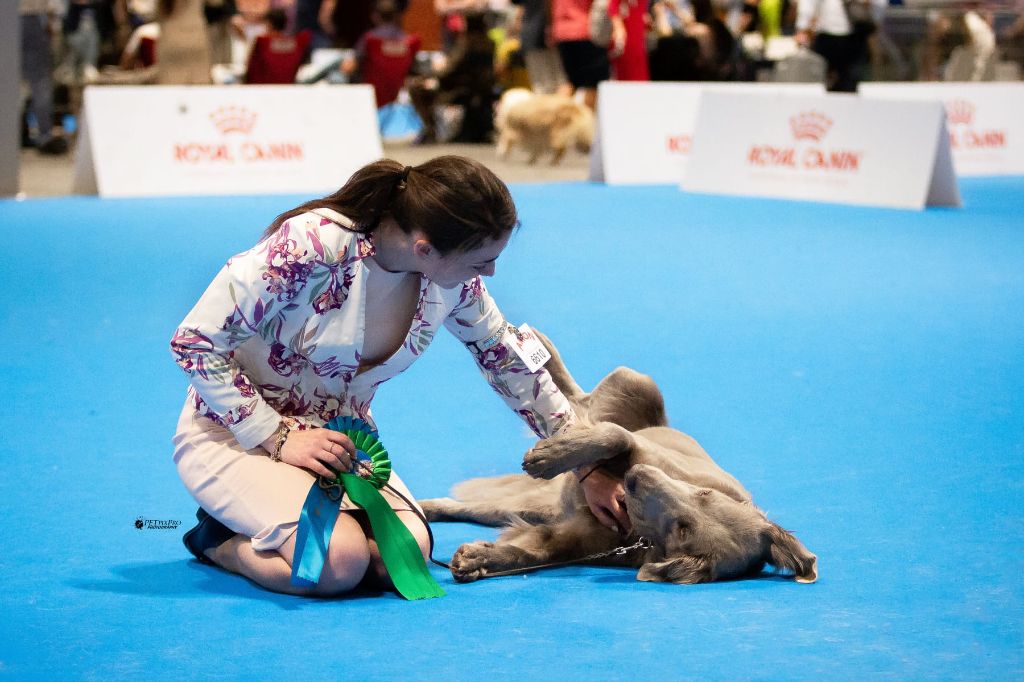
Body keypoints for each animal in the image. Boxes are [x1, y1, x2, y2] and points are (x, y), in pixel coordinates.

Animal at [419, 331, 819, 581]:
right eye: (705, 494)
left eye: (683, 528)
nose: (636, 478)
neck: (630, 522)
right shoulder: (641, 448)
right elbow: (614, 435)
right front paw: (550, 455)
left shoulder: (569, 539)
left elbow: (531, 553)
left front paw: (479, 559)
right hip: (638, 381)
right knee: (577, 399)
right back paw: (537, 349)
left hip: (534, 506)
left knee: (469, 507)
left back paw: (424, 509)